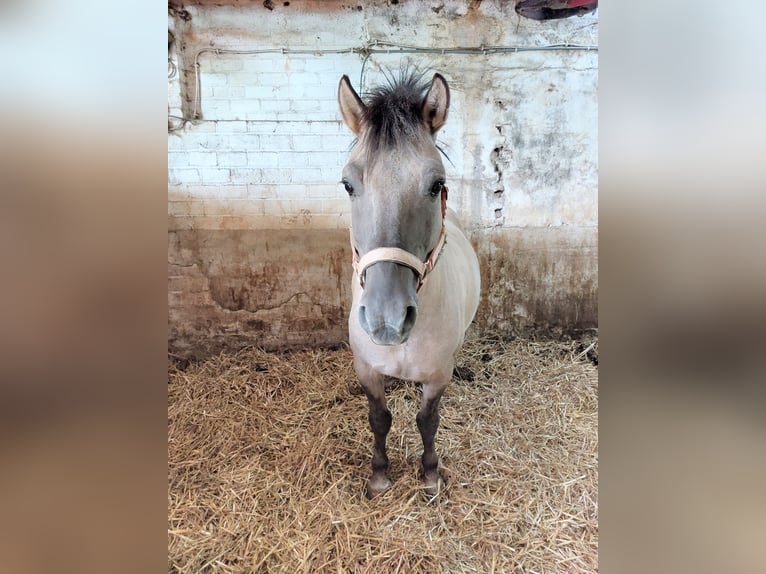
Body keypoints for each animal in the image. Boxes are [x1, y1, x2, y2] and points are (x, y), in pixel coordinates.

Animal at [338, 70, 480, 498]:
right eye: (348, 184)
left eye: (436, 185)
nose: (387, 318)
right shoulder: (366, 369)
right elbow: (380, 418)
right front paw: (379, 475)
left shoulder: (437, 375)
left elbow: (427, 421)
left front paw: (431, 474)